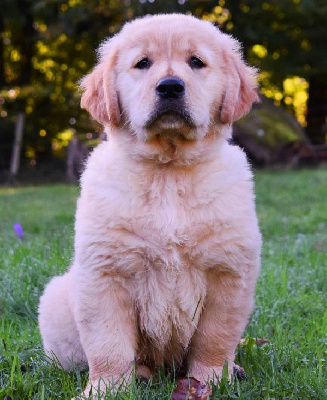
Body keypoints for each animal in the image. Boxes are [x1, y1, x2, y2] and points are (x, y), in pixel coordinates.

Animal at [38, 13, 262, 396]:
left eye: (196, 62)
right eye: (142, 63)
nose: (170, 87)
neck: (168, 172)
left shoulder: (229, 271)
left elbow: (215, 340)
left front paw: (209, 381)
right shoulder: (105, 272)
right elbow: (108, 344)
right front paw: (105, 390)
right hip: (55, 299)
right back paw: (141, 374)